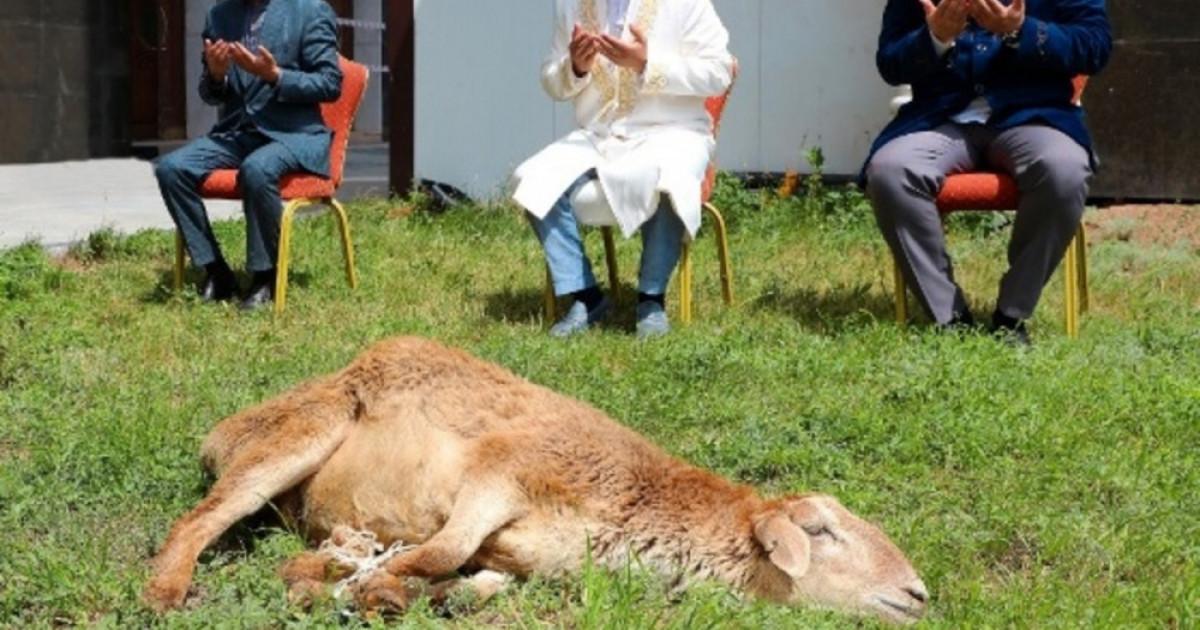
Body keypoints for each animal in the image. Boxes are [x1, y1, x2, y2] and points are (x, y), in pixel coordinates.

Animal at [142, 336, 926, 619]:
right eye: (820, 530)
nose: (919, 594)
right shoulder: (507, 468)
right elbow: (445, 548)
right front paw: (350, 583)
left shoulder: (525, 553)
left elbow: (471, 578)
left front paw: (380, 585)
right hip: (302, 430)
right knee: (202, 516)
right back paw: (165, 591)